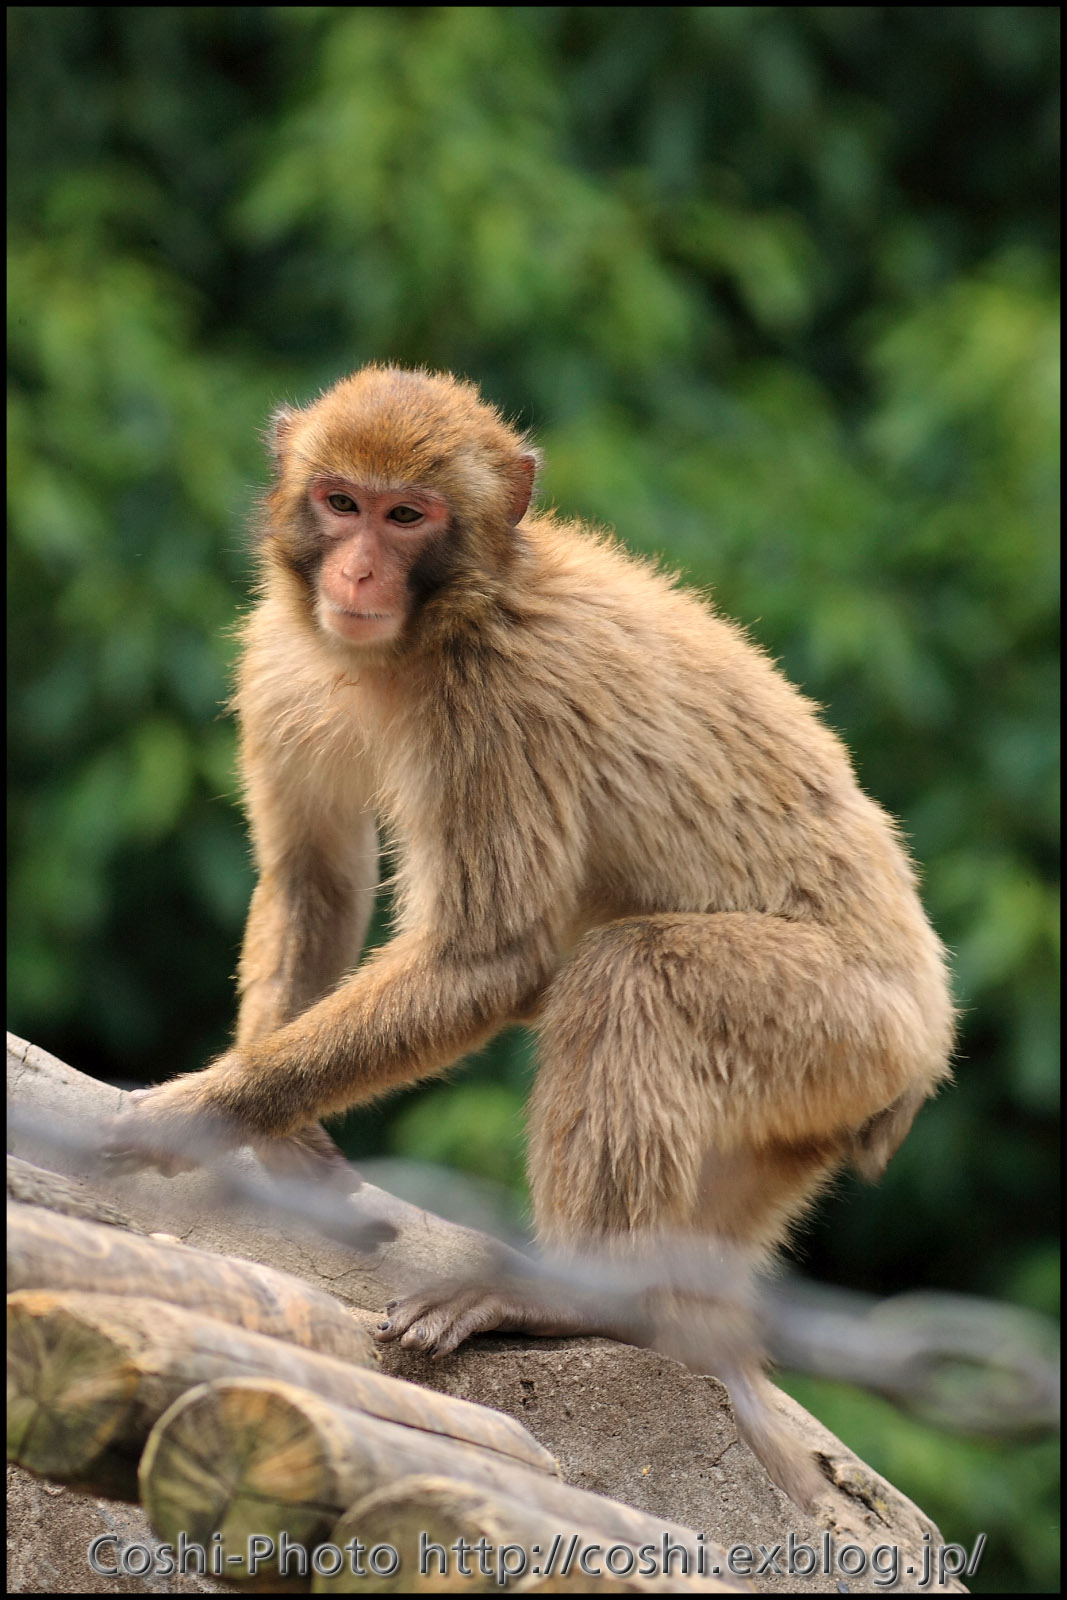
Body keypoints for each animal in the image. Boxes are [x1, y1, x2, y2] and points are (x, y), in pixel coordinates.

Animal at [108, 368, 953, 1504]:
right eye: (340, 501)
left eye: (407, 516)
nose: (359, 569)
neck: (436, 625)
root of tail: (922, 1055)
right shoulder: (286, 653)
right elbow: (314, 874)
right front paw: (277, 1134)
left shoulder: (495, 703)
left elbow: (487, 957)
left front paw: (199, 1112)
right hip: (809, 1120)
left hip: (846, 1030)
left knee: (630, 974)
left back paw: (580, 1299)